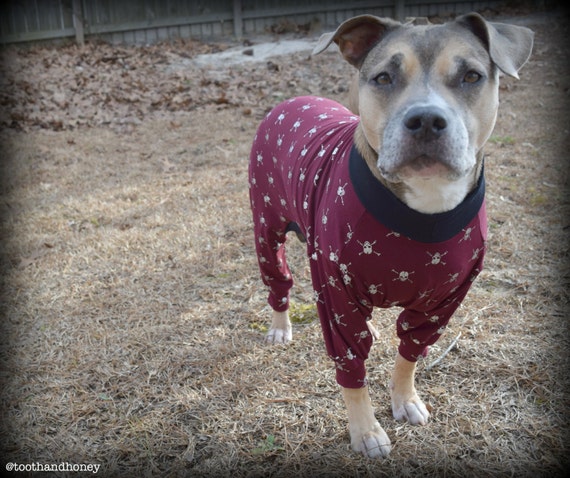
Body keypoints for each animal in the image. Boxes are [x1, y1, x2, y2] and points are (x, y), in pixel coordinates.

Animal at [247, 13, 532, 458]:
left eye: (471, 75)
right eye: (383, 77)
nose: (427, 119)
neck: (425, 205)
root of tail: (290, 101)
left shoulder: (443, 303)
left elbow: (410, 353)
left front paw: (405, 399)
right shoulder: (335, 292)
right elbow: (352, 369)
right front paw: (365, 431)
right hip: (267, 227)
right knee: (278, 276)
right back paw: (280, 324)